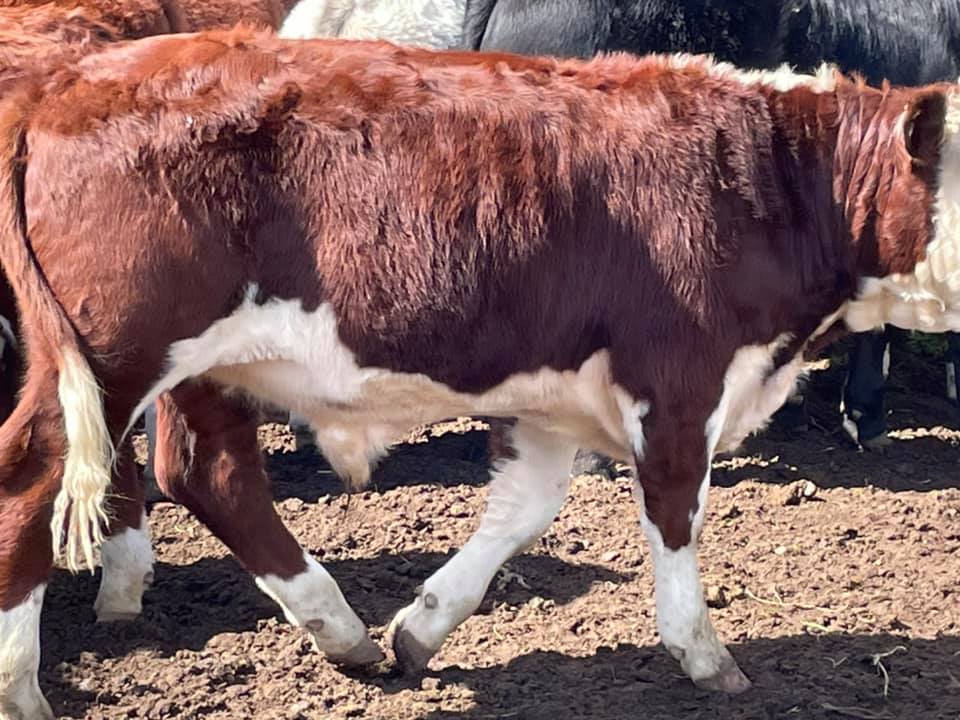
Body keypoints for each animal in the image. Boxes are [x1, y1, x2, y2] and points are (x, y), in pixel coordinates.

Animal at [1, 29, 958, 717]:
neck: (779, 184)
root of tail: (69, 84)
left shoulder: (554, 399)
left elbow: (525, 509)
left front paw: (421, 629)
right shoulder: (681, 381)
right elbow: (675, 513)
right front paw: (702, 652)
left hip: (207, 366)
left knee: (211, 476)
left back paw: (340, 629)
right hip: (107, 356)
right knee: (35, 479)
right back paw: (22, 685)